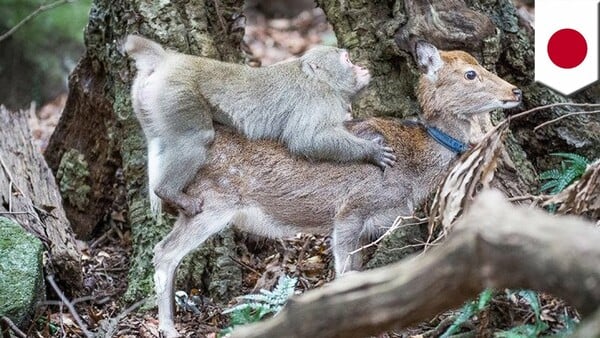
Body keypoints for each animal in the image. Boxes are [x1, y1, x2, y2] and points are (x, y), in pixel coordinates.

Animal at [123, 36, 394, 217]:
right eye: (347, 60)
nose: (362, 67)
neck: (320, 80)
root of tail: (169, 60)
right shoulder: (318, 99)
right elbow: (305, 140)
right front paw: (371, 150)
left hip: (149, 100)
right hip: (177, 93)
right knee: (197, 139)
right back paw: (169, 192)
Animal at [152, 41, 524, 336]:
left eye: (479, 63)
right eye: (470, 74)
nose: (515, 91)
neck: (411, 167)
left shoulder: (367, 224)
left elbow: (357, 276)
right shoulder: (350, 209)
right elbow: (343, 277)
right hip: (211, 201)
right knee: (164, 252)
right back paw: (169, 328)